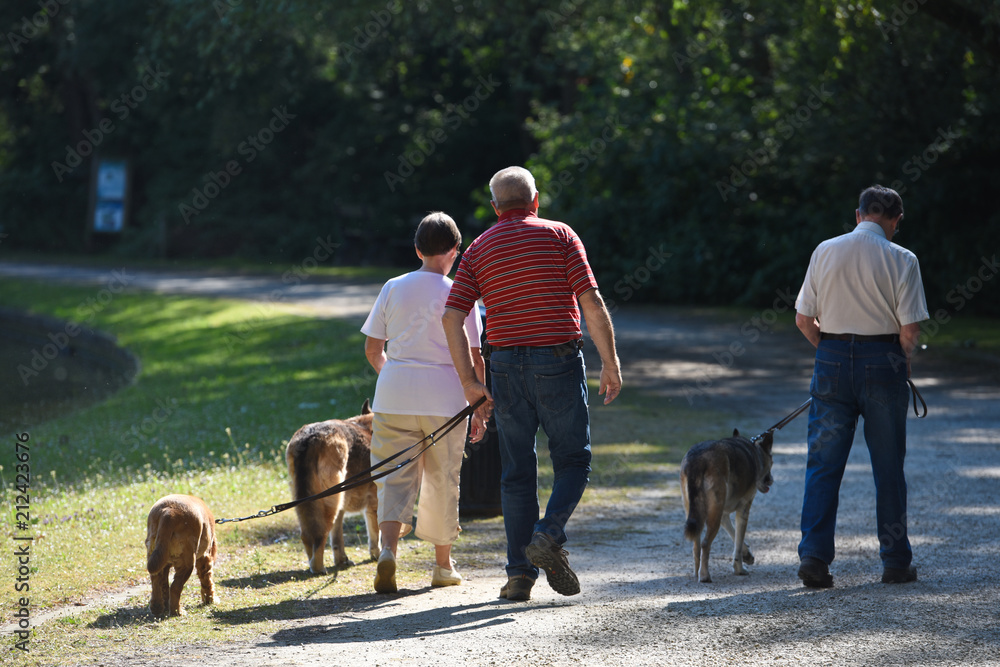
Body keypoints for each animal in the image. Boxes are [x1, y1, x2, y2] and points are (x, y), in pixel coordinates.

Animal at [290, 400, 382, 576]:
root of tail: (311, 437)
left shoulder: (342, 507)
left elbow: (337, 539)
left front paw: (341, 561)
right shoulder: (375, 504)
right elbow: (376, 534)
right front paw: (378, 555)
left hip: (309, 502)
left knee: (307, 535)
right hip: (330, 502)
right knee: (319, 536)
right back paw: (318, 568)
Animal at [680, 430, 772, 580]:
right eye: (772, 461)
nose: (771, 480)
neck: (755, 454)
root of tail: (698, 459)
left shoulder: (723, 515)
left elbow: (734, 535)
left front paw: (747, 555)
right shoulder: (743, 511)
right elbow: (738, 543)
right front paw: (739, 569)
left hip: (696, 513)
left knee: (696, 546)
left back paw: (696, 572)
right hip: (714, 517)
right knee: (705, 544)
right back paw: (704, 576)